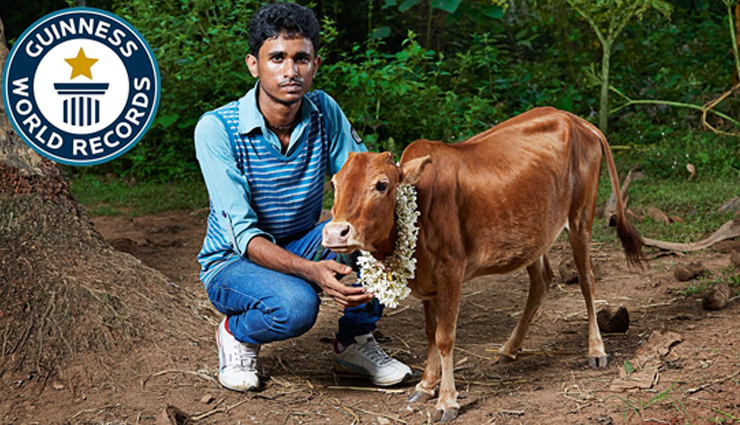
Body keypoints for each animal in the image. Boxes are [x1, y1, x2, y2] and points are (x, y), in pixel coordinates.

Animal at [322, 107, 644, 422]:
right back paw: (509, 349)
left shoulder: (451, 270)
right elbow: (430, 332)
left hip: (580, 217)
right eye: (335, 183)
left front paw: (447, 402)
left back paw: (596, 349)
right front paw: (425, 386)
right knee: (541, 280)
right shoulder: (427, 279)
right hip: (533, 232)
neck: (420, 203)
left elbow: (445, 337)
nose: (335, 232)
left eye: (382, 185)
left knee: (587, 279)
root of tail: (577, 120)